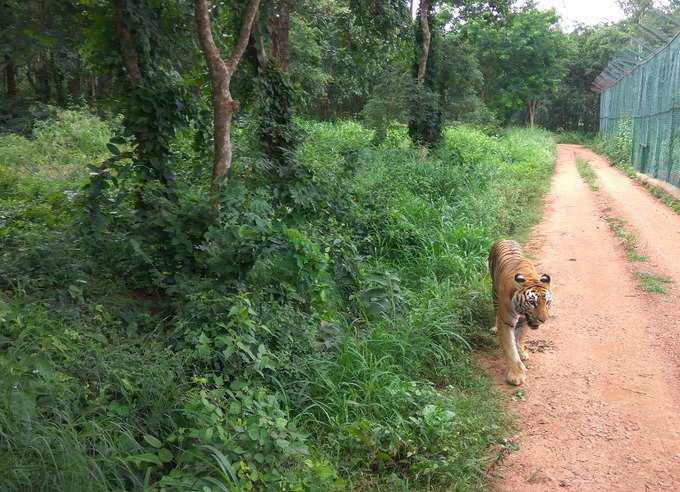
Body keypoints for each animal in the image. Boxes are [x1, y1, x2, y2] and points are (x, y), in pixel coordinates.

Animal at [488, 240, 552, 386]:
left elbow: (520, 338)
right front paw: (516, 375)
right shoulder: (506, 322)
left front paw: (522, 352)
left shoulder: (525, 321)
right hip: (494, 292)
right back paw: (494, 327)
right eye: (532, 302)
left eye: (547, 302)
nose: (543, 320)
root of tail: (504, 239)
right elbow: (510, 348)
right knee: (495, 311)